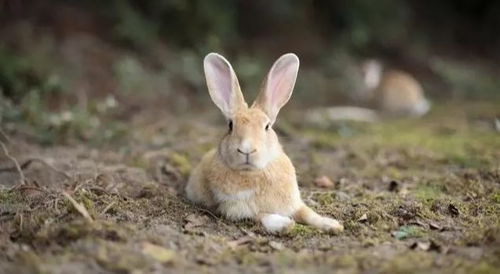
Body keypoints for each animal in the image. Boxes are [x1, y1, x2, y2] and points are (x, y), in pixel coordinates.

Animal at [186, 53, 346, 233]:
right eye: (230, 126)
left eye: (267, 126)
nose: (246, 149)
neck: (253, 173)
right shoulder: (234, 208)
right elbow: (261, 215)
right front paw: (285, 224)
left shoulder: (294, 203)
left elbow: (308, 214)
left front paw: (333, 225)